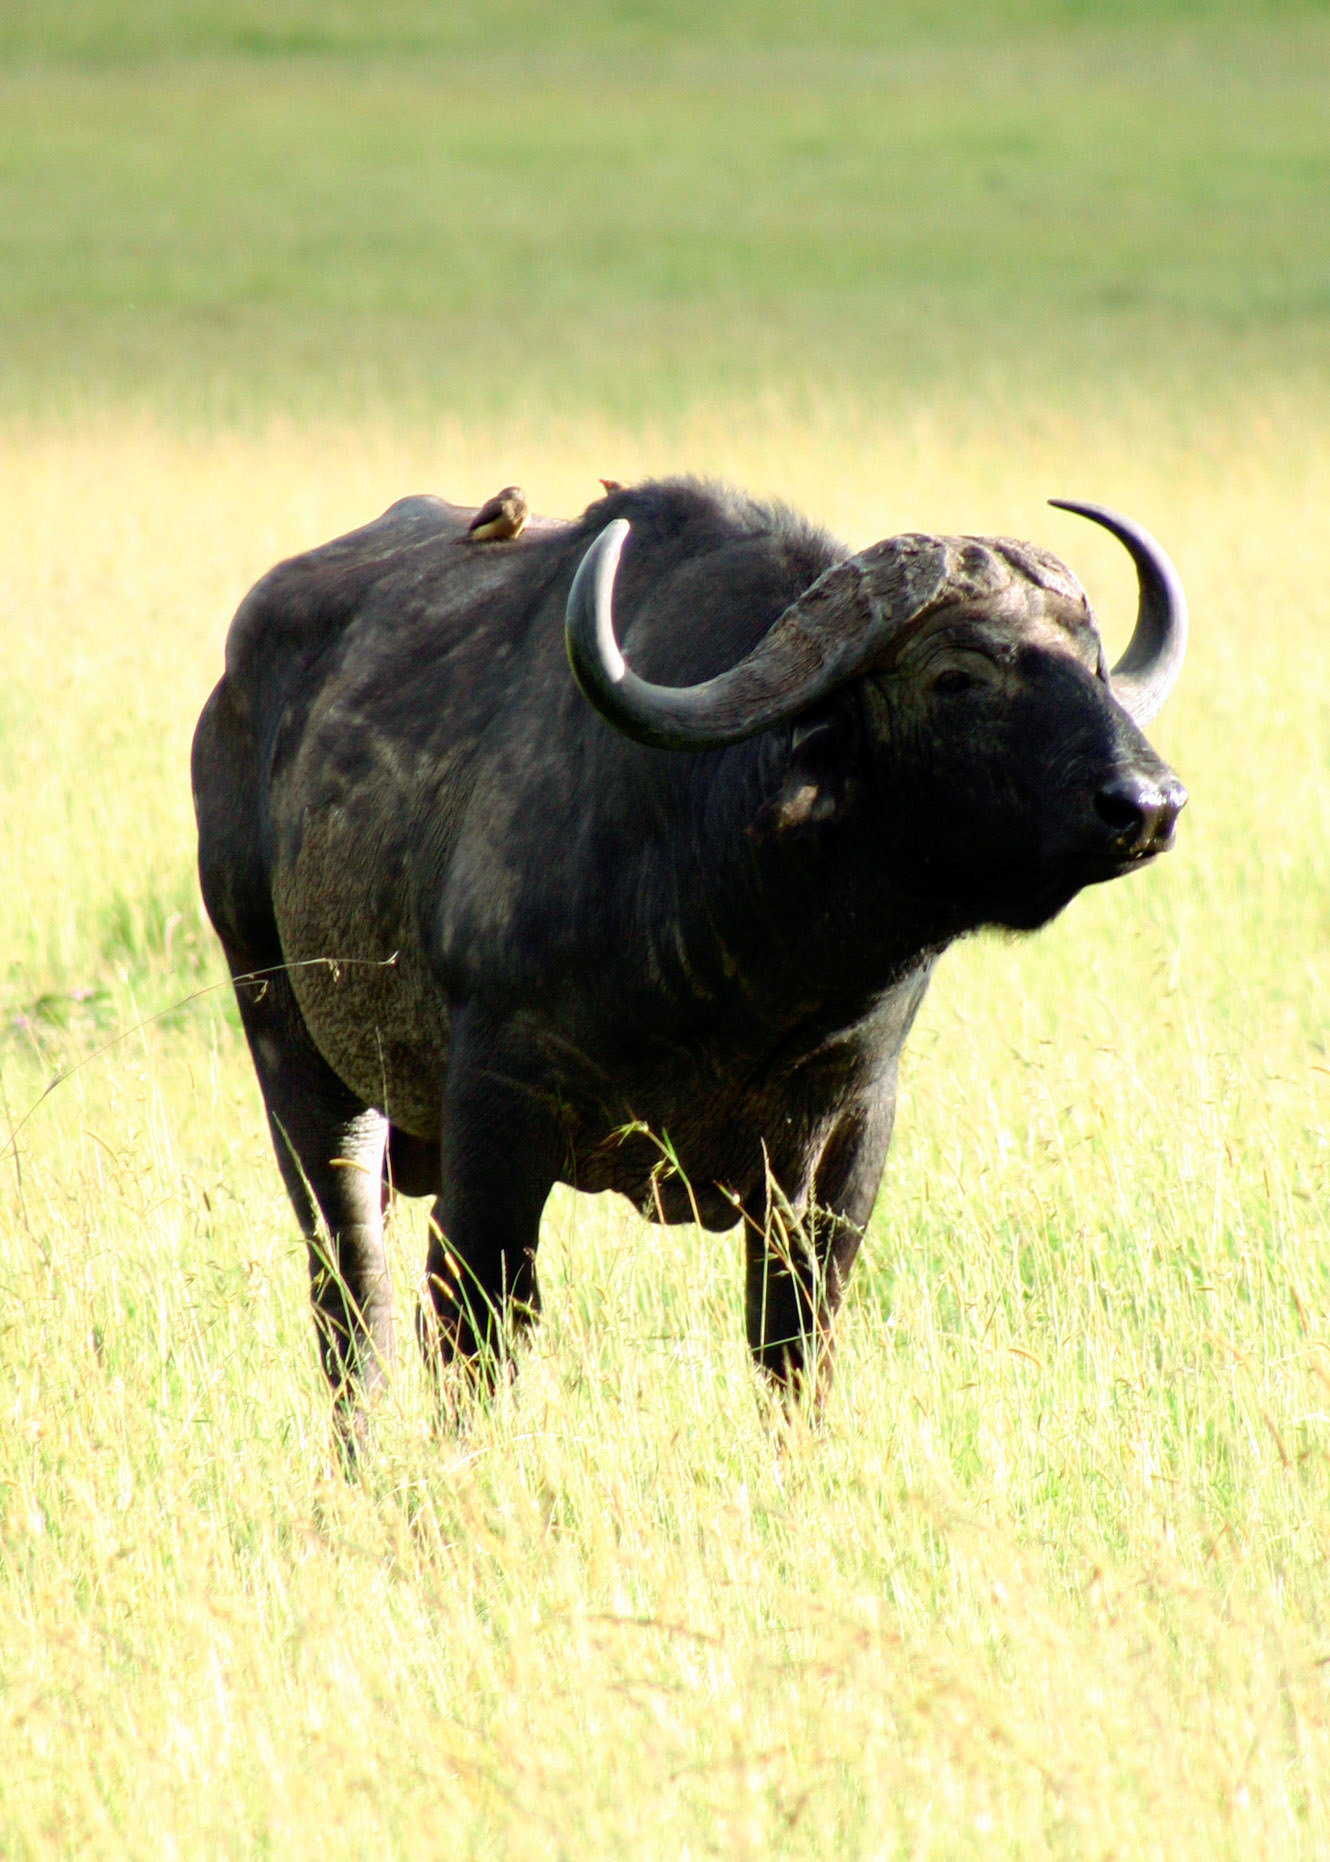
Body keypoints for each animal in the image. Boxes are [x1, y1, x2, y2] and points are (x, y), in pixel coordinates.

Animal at [192, 477, 1186, 1421]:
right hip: (294, 1054)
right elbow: (476, 1331)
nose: (1149, 804)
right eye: (957, 675)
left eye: (1094, 663)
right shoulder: (497, 1107)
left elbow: (793, 1344)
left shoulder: (846, 1136)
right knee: (352, 1298)